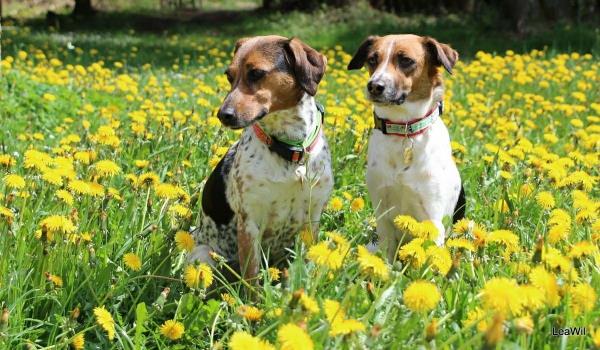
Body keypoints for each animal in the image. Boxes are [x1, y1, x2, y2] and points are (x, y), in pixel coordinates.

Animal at [190, 35, 332, 282]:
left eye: (256, 73)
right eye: (229, 76)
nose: (222, 115)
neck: (290, 149)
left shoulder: (312, 219)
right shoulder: (250, 222)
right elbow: (252, 278)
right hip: (203, 256)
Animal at [346, 34, 468, 260]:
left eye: (406, 60)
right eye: (372, 59)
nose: (374, 86)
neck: (403, 129)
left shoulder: (432, 217)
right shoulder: (382, 212)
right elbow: (386, 255)